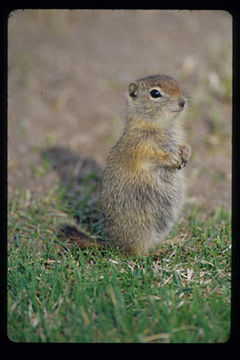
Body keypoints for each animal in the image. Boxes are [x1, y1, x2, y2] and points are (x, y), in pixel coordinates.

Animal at [60, 74, 191, 256]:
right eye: (155, 93)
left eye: (176, 83)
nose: (182, 102)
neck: (162, 125)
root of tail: (115, 244)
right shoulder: (138, 145)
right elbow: (151, 155)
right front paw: (171, 158)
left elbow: (182, 145)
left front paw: (186, 152)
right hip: (142, 227)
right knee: (138, 253)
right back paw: (158, 251)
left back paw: (172, 241)